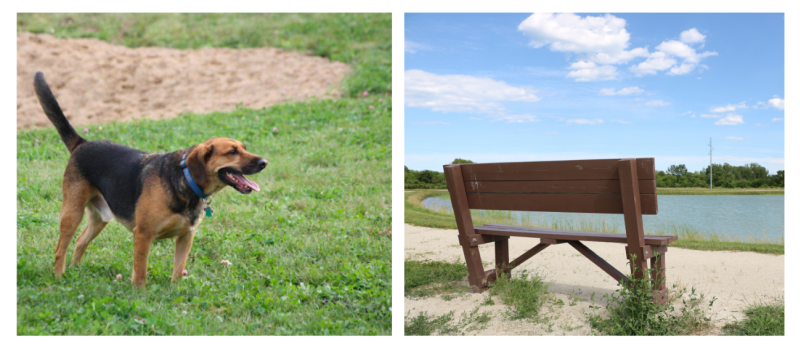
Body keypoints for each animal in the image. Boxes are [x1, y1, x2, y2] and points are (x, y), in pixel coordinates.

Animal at [34, 72, 268, 286]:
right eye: (232, 152)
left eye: (244, 148)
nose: (264, 162)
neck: (185, 182)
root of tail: (82, 143)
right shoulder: (143, 236)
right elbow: (140, 274)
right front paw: (139, 296)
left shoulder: (186, 236)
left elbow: (177, 272)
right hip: (72, 213)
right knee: (60, 249)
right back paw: (60, 278)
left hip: (101, 217)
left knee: (80, 242)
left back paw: (75, 272)